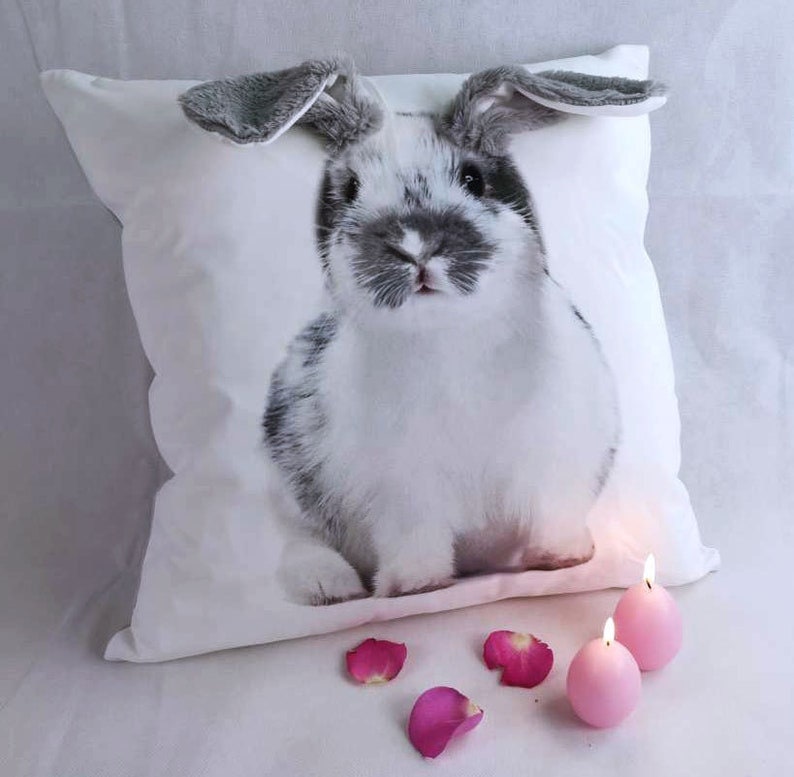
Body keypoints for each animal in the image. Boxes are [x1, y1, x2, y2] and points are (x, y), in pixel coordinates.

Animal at [180, 58, 666, 605]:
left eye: (474, 178)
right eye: (350, 188)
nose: (414, 245)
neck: (450, 338)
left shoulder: (558, 457)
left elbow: (552, 513)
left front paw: (562, 559)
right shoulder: (399, 488)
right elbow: (414, 537)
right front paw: (417, 585)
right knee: (299, 545)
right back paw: (331, 587)